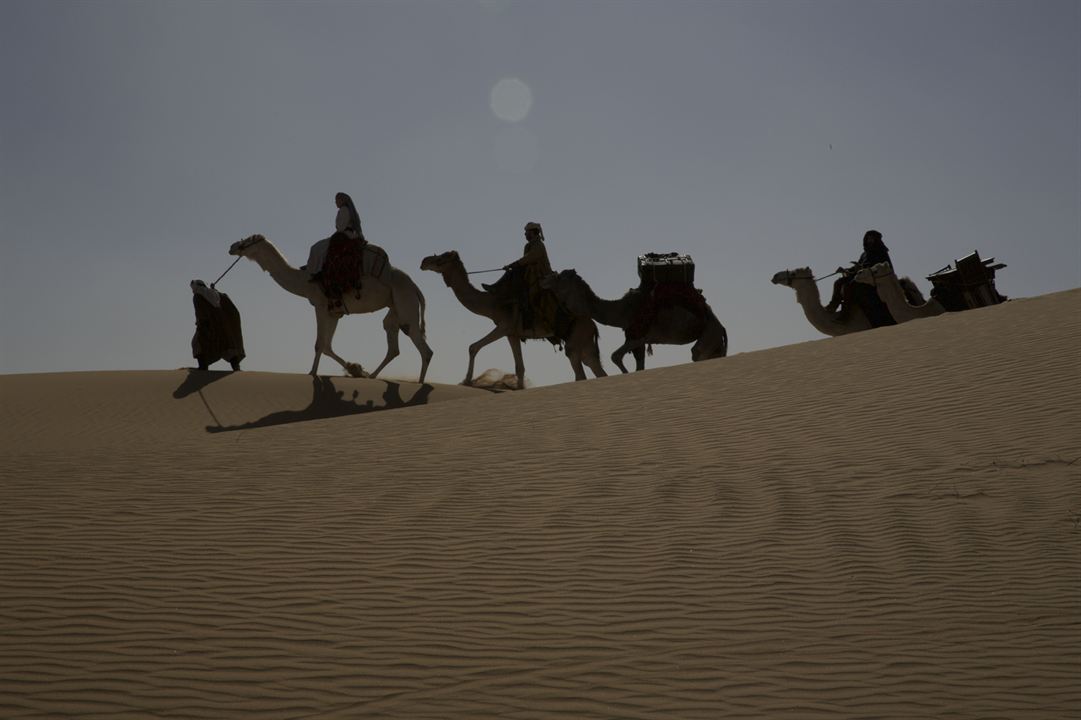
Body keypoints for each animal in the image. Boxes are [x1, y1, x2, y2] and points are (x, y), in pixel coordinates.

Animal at [230, 234, 432, 380]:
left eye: (249, 240)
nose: (232, 247)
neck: (305, 280)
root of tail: (416, 288)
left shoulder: (320, 305)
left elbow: (319, 344)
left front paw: (312, 373)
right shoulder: (334, 312)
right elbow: (327, 346)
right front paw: (356, 369)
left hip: (405, 302)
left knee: (423, 346)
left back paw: (420, 383)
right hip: (395, 306)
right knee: (393, 340)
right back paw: (372, 375)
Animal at [415, 250, 605, 387]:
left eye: (441, 258)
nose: (424, 261)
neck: (492, 302)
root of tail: (592, 324)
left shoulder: (504, 326)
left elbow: (473, 347)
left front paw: (466, 380)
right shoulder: (512, 334)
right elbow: (520, 367)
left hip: (576, 338)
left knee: (580, 370)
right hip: (585, 343)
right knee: (595, 367)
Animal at [538, 265, 726, 371]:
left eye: (559, 277)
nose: (544, 279)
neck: (622, 311)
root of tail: (722, 328)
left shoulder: (641, 336)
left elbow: (615, 356)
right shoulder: (636, 339)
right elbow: (638, 366)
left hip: (709, 335)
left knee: (698, 353)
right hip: (714, 343)